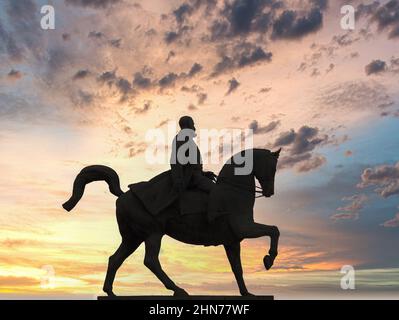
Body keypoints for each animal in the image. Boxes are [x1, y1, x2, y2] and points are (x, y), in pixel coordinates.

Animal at [61, 149, 282, 296]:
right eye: (272, 167)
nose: (270, 192)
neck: (233, 191)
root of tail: (123, 195)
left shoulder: (232, 240)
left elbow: (237, 268)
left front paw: (247, 293)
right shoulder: (244, 228)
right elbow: (274, 230)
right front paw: (268, 259)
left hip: (133, 237)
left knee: (115, 259)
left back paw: (110, 292)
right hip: (153, 232)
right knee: (150, 260)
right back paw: (178, 289)